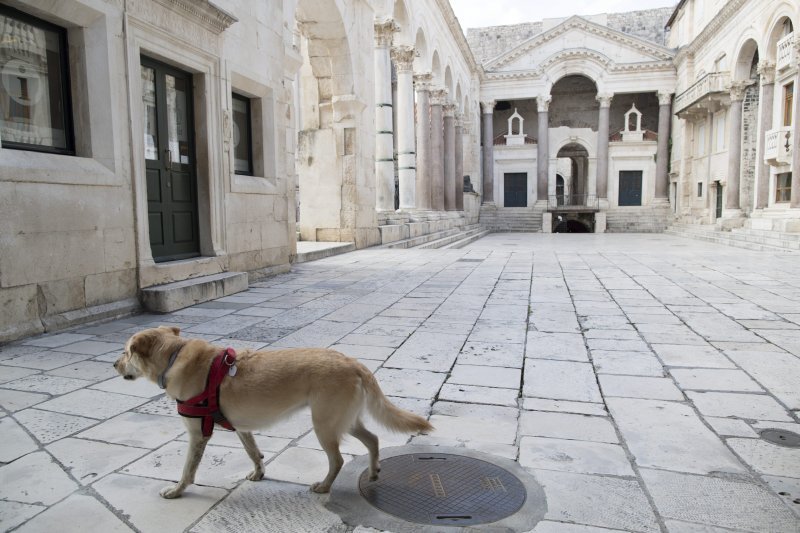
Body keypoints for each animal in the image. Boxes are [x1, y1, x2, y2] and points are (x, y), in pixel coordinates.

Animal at [112, 326, 432, 496]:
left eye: (126, 352)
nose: (114, 365)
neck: (173, 356)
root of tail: (354, 363)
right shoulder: (242, 428)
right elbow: (254, 453)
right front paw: (259, 473)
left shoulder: (197, 434)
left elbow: (188, 469)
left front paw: (177, 491)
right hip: (344, 420)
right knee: (373, 439)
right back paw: (374, 470)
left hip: (324, 425)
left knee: (338, 459)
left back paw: (325, 486)